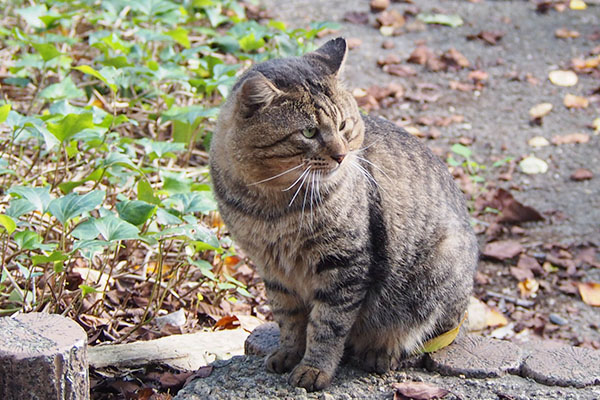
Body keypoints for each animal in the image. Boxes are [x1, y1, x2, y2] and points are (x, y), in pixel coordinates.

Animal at [209, 37, 476, 390]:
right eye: (309, 133)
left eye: (343, 125)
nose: (340, 155)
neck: (274, 205)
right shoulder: (272, 269)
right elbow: (289, 319)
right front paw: (288, 353)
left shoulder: (343, 264)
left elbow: (327, 326)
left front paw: (314, 369)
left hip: (436, 280)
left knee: (419, 336)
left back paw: (381, 352)